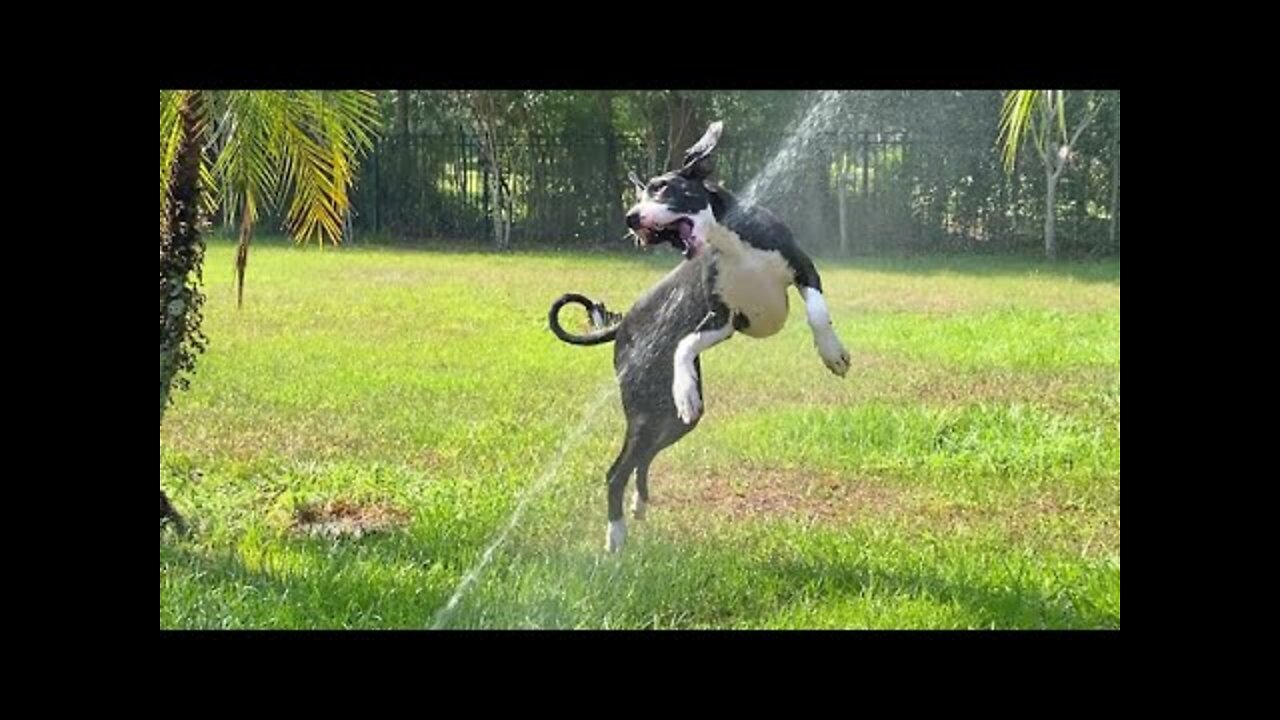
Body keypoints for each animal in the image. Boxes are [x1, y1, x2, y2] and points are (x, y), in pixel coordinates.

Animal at [542, 121, 849, 548]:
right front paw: (685, 388)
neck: (729, 243)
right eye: (641, 193)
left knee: (643, 459)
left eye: (662, 188)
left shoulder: (797, 272)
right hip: (642, 413)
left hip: (669, 421)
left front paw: (832, 352)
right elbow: (685, 344)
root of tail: (622, 325)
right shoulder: (722, 314)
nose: (630, 217)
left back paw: (639, 503)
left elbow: (818, 312)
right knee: (617, 470)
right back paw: (615, 535)